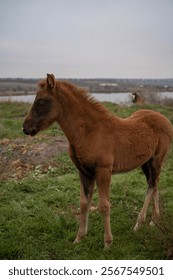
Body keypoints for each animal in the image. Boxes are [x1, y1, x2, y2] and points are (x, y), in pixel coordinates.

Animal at [23, 74, 173, 247]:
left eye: (41, 102)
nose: (25, 127)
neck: (88, 132)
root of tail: (166, 120)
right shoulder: (84, 172)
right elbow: (84, 203)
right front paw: (79, 238)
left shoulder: (103, 171)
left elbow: (104, 205)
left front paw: (107, 242)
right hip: (145, 163)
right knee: (154, 184)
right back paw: (153, 221)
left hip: (156, 159)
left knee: (152, 185)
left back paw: (139, 224)